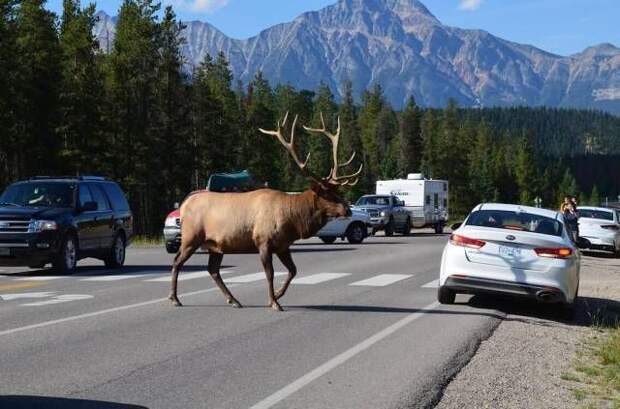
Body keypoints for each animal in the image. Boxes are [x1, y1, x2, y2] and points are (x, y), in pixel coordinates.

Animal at [170, 111, 364, 310]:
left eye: (338, 192)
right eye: (328, 194)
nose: (347, 210)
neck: (293, 220)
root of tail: (184, 206)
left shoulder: (283, 245)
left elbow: (293, 271)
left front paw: (277, 294)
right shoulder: (263, 241)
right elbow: (270, 273)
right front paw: (274, 302)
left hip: (215, 245)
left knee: (213, 269)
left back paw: (234, 300)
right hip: (191, 237)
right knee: (177, 262)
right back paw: (175, 298)